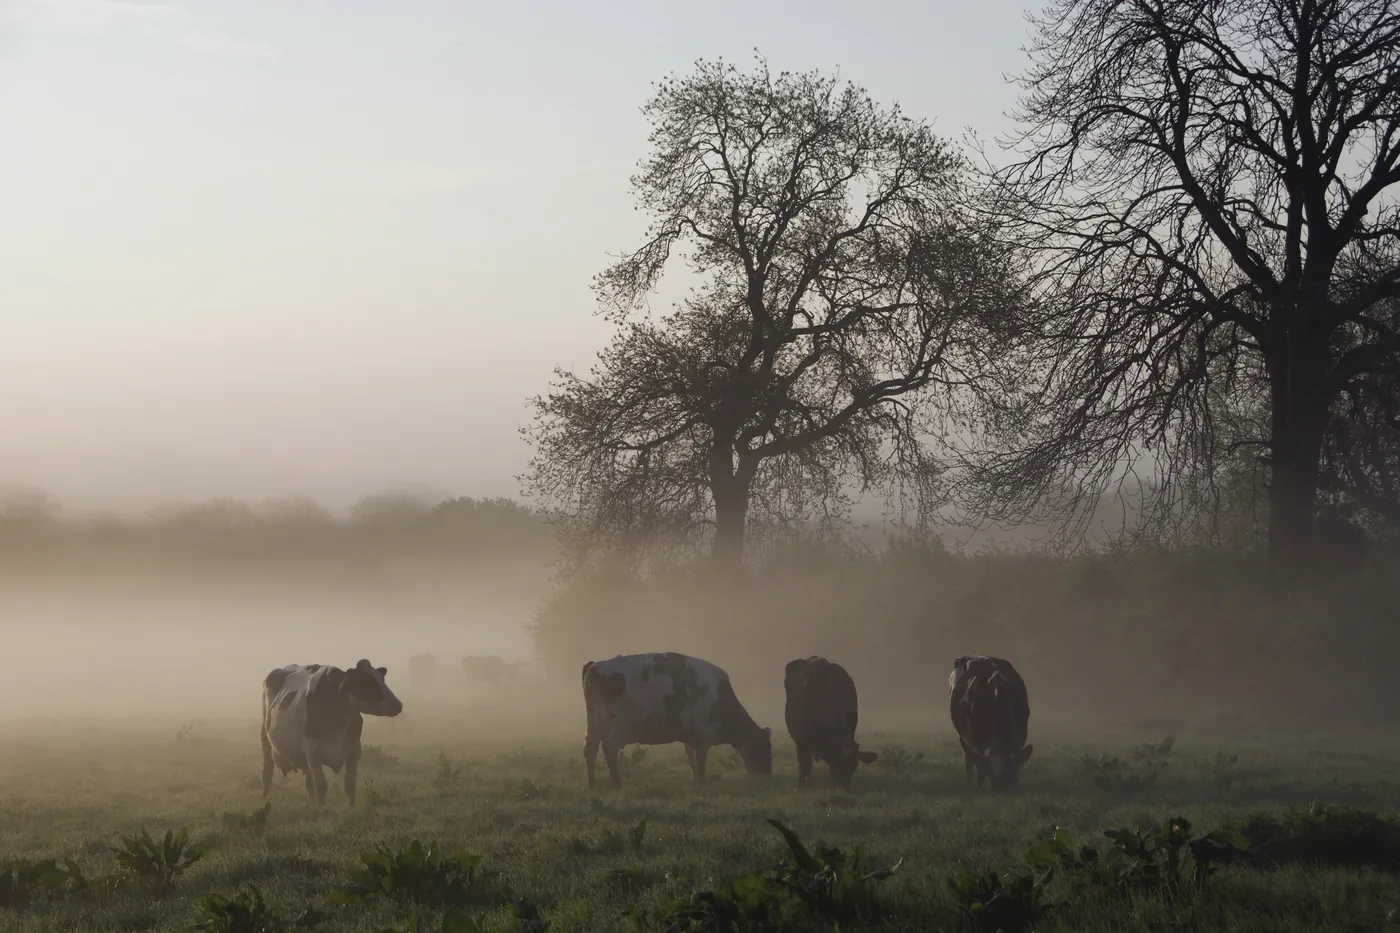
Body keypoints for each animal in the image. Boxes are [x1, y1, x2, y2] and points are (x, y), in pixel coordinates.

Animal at [260, 659, 403, 806]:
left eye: (382, 679)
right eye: (366, 681)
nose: (398, 705)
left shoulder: (354, 750)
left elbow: (350, 785)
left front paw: (352, 808)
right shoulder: (312, 753)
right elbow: (321, 786)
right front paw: (322, 808)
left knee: (308, 778)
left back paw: (310, 800)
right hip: (265, 736)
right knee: (267, 770)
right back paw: (266, 796)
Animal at [581, 652, 773, 789]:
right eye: (763, 748)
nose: (768, 775)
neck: (718, 696)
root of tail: (596, 665)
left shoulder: (690, 737)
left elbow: (692, 760)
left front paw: (695, 781)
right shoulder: (703, 736)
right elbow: (701, 762)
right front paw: (702, 782)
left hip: (594, 723)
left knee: (590, 749)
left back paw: (592, 784)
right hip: (620, 724)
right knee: (609, 747)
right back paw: (617, 783)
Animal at [783, 656, 878, 791]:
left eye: (854, 766)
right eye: (837, 762)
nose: (843, 787)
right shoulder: (802, 741)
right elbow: (804, 765)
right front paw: (803, 785)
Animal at [948, 655, 1032, 791]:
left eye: (1014, 775)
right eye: (992, 778)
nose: (1003, 791)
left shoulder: (1020, 733)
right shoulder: (977, 738)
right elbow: (981, 767)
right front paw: (978, 786)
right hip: (963, 735)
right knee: (968, 759)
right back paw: (969, 782)